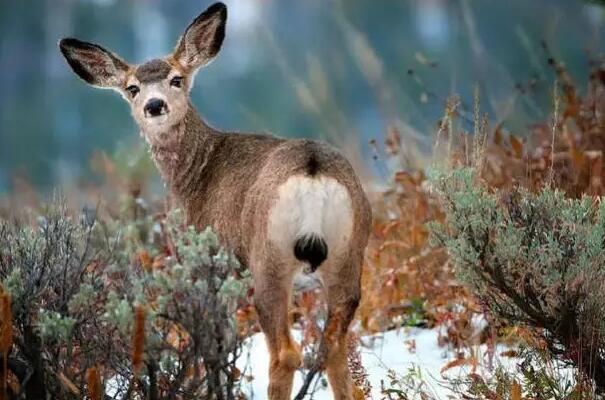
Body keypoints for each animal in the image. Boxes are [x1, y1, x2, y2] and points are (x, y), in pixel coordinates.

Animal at [59, 1, 370, 398]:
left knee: (286, 354)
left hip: (268, 260)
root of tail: (313, 170)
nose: (154, 105)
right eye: (132, 88)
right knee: (334, 350)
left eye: (177, 79)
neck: (197, 173)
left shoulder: (211, 266)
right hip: (348, 258)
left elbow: (214, 345)